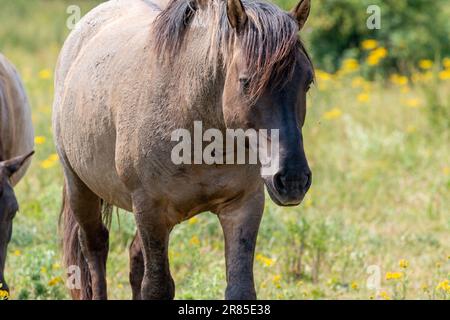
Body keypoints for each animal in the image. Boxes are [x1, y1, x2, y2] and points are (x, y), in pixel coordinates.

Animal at [52, 0, 312, 300]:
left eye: (307, 82)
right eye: (246, 82)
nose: (293, 179)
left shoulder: (244, 205)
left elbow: (240, 288)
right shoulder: (150, 209)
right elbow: (157, 287)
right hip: (80, 188)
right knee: (94, 247)